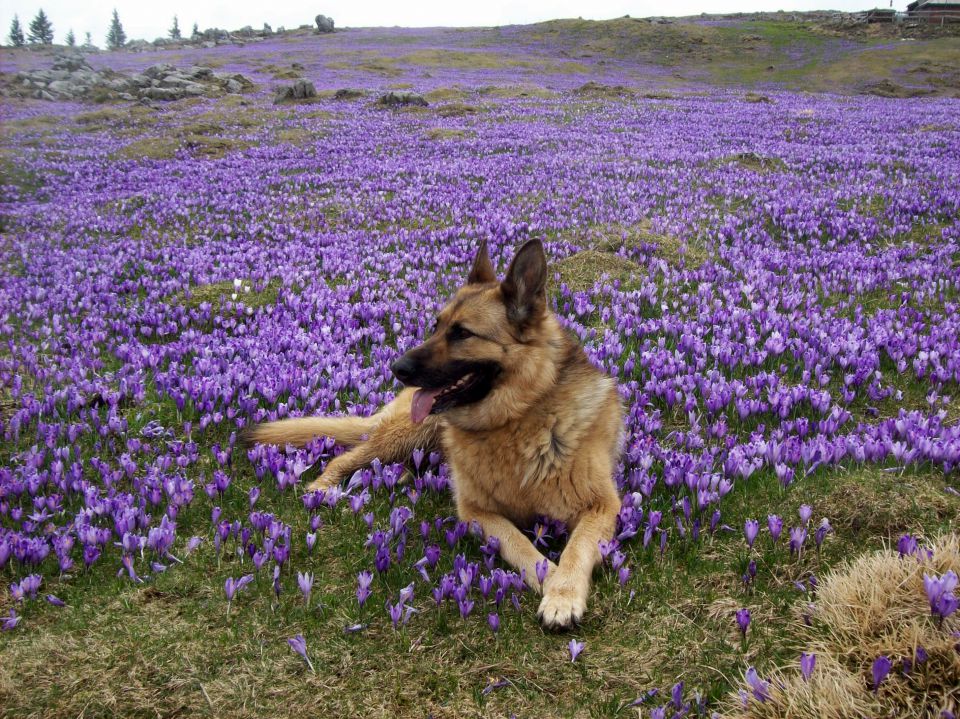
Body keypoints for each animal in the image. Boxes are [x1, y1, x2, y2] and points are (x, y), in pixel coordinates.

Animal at [248, 239, 624, 628]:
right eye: (436, 325)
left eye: (462, 333)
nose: (396, 367)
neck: (516, 419)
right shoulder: (475, 510)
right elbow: (519, 544)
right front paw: (549, 579)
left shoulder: (603, 504)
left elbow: (577, 546)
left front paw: (563, 591)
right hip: (406, 432)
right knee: (343, 458)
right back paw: (323, 490)